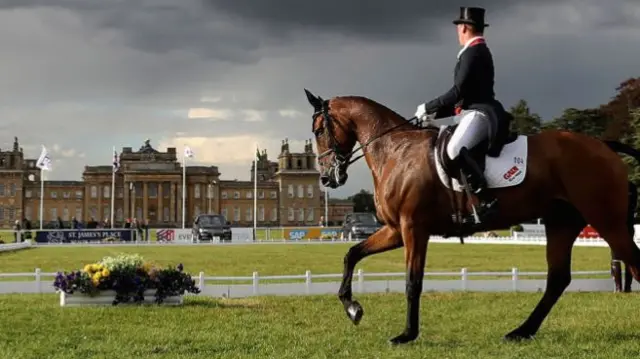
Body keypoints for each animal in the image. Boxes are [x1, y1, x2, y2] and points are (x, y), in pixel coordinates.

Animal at [302, 89, 640, 346]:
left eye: (319, 130)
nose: (328, 178)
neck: (395, 151)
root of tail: (604, 146)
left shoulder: (413, 228)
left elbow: (413, 281)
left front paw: (406, 334)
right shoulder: (396, 230)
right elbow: (351, 254)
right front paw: (353, 309)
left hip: (605, 220)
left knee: (633, 264)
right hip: (562, 223)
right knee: (558, 279)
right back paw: (521, 331)